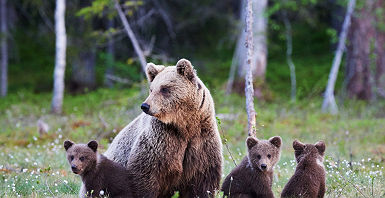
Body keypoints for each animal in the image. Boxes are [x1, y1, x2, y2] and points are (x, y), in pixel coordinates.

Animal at [102, 58, 222, 197]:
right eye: (151, 89)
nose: (145, 106)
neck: (185, 125)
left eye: (164, 88)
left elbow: (203, 181)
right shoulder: (161, 140)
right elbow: (144, 176)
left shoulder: (202, 141)